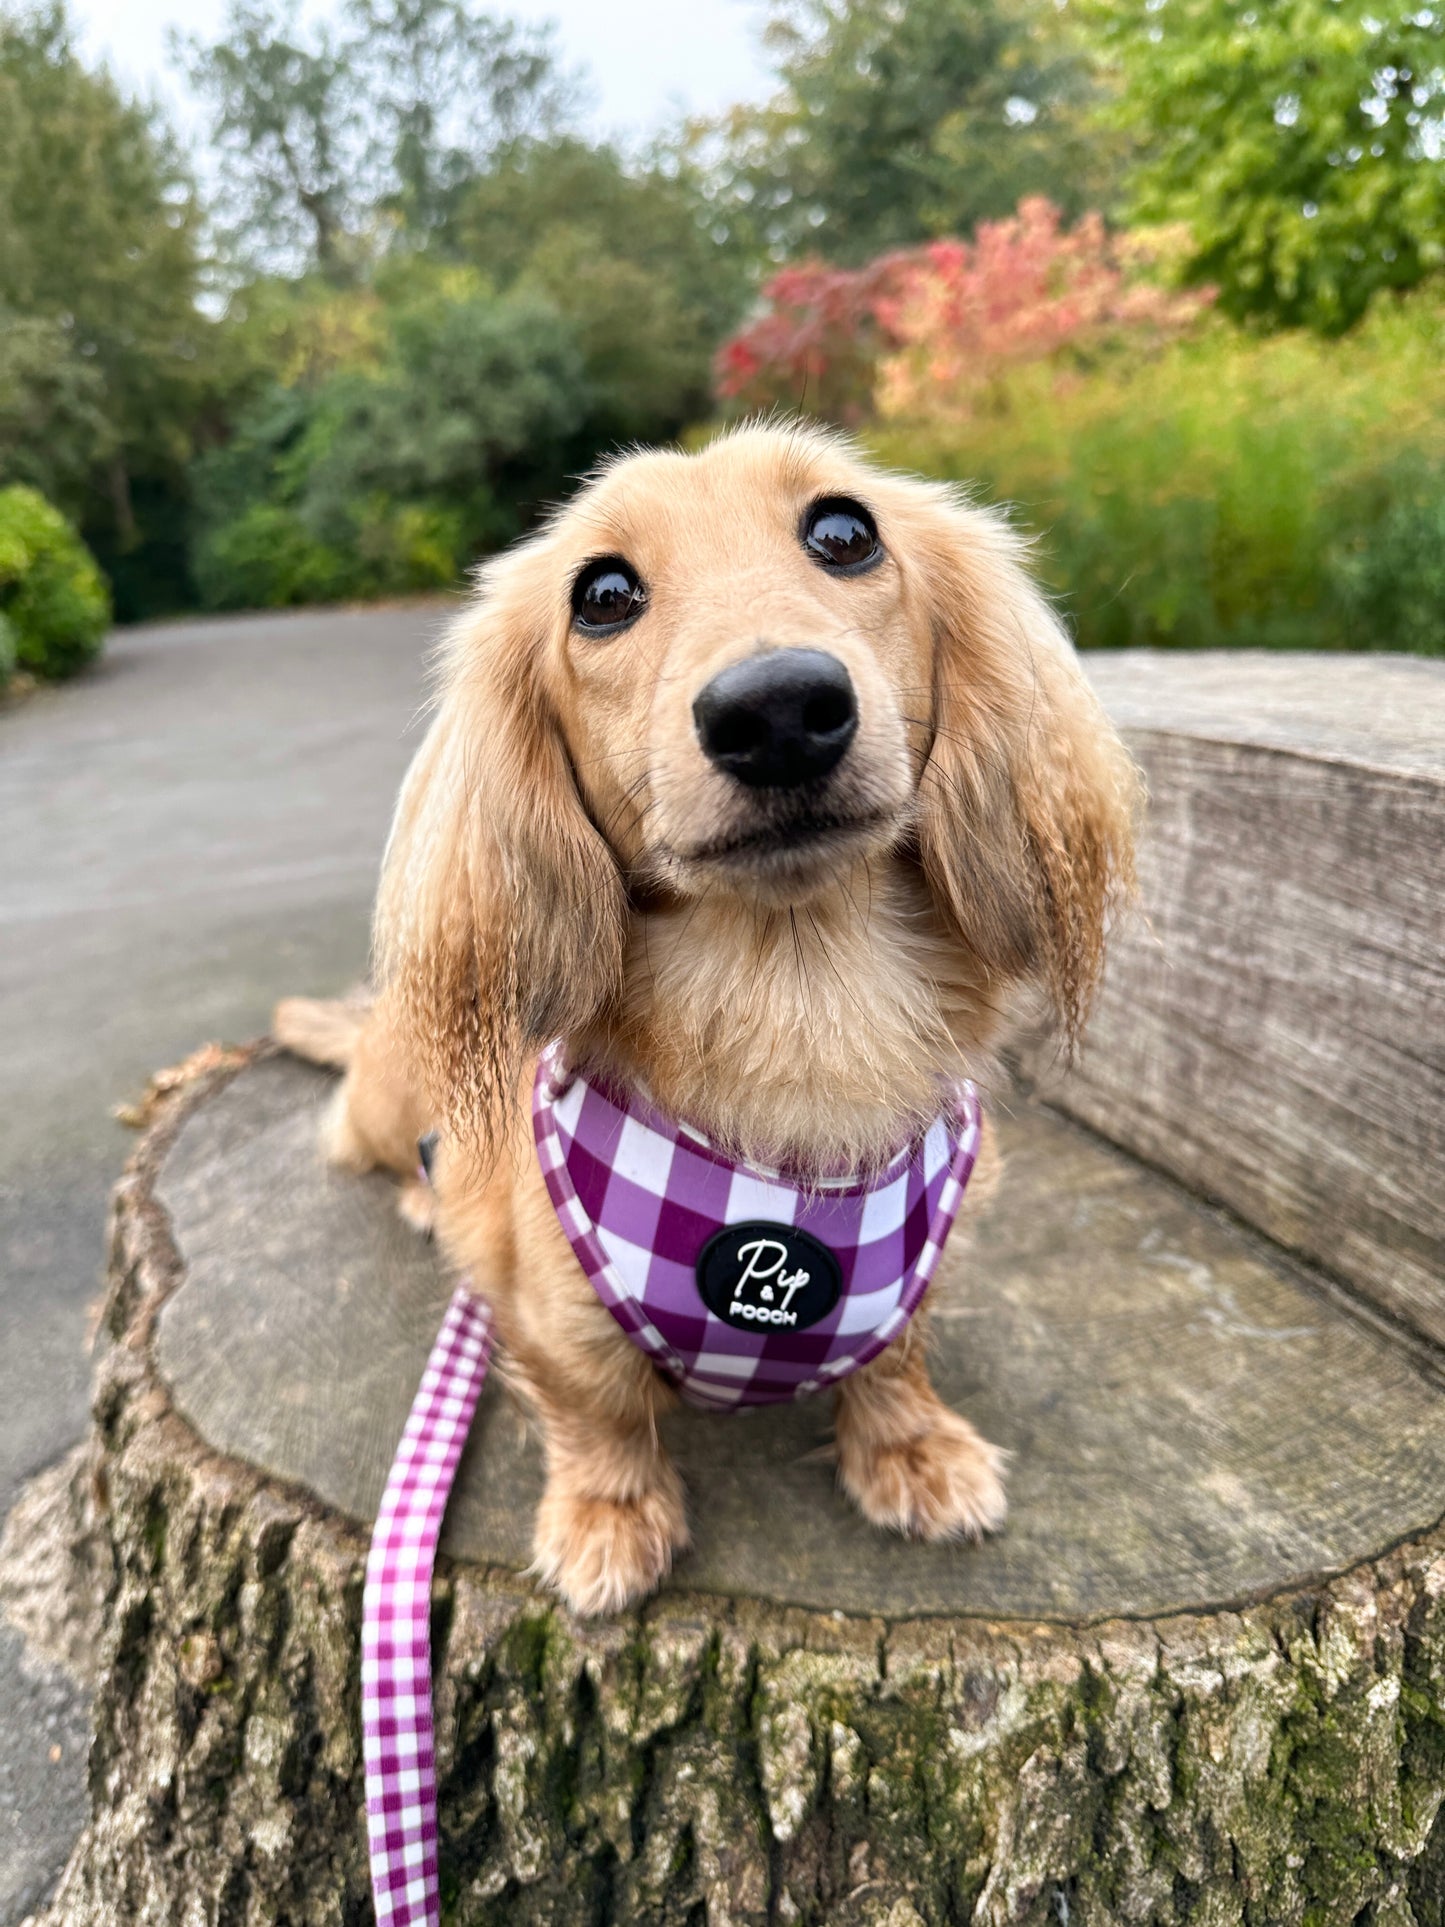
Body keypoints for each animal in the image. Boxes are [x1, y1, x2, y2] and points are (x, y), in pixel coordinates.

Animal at [273, 422, 1140, 1610]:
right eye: (601, 594)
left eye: (844, 531)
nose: (774, 709)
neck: (803, 998)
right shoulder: (546, 1308)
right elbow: (594, 1405)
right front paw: (606, 1515)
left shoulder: (916, 1263)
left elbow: (895, 1351)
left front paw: (910, 1447)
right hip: (388, 1110)